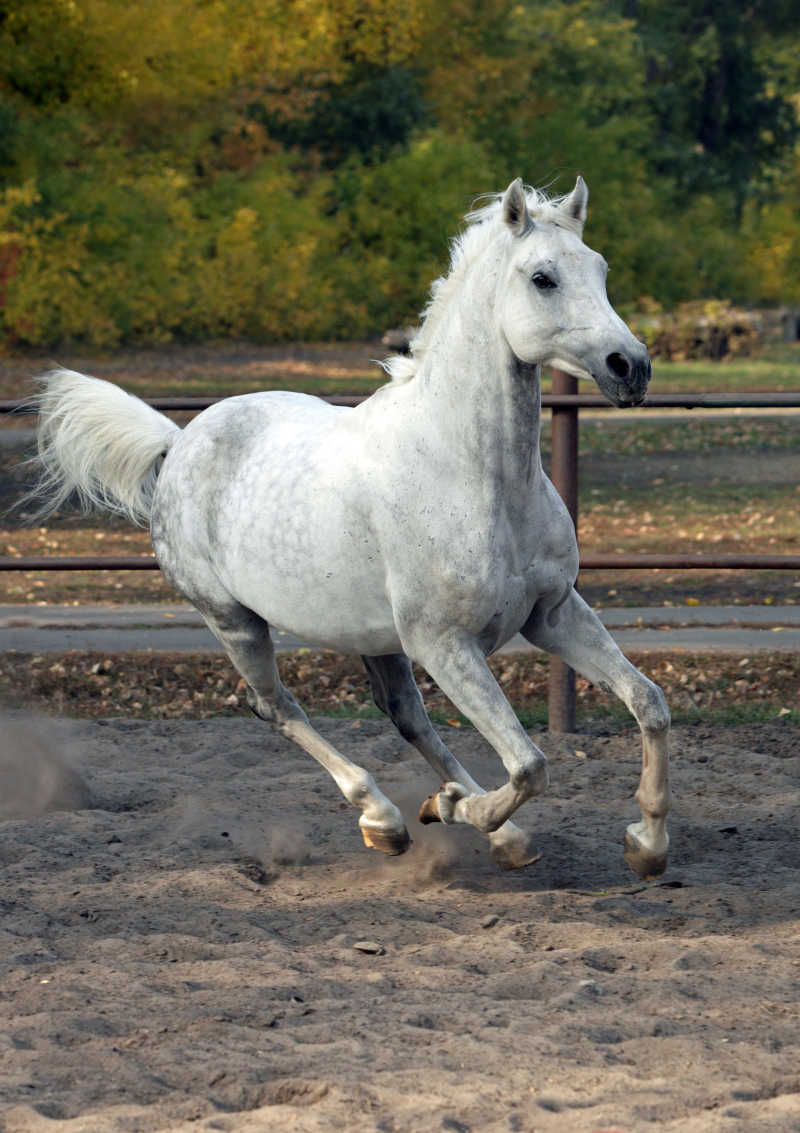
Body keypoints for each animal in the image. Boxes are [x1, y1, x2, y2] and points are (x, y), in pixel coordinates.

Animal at [28, 181, 670, 879]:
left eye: (601, 270)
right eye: (542, 278)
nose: (630, 366)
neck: (474, 474)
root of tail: (177, 442)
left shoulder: (551, 613)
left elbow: (648, 704)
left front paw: (647, 846)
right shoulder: (446, 644)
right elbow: (530, 765)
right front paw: (450, 809)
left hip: (377, 637)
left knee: (406, 716)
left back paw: (490, 833)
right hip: (235, 621)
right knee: (274, 706)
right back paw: (387, 819)